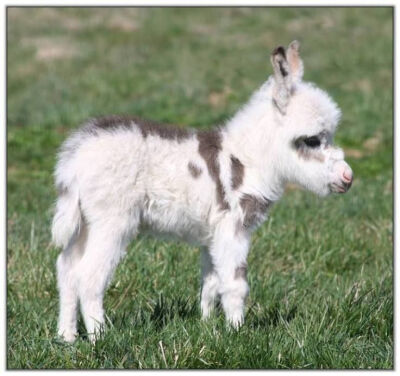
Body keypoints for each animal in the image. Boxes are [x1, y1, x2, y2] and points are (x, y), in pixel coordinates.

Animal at [52, 41, 354, 344]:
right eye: (312, 140)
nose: (348, 178)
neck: (248, 158)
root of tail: (76, 156)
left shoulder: (212, 235)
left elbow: (211, 283)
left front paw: (208, 327)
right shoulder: (233, 228)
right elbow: (235, 284)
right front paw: (237, 333)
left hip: (85, 223)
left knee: (67, 269)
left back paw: (67, 337)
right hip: (112, 221)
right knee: (89, 277)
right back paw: (100, 338)